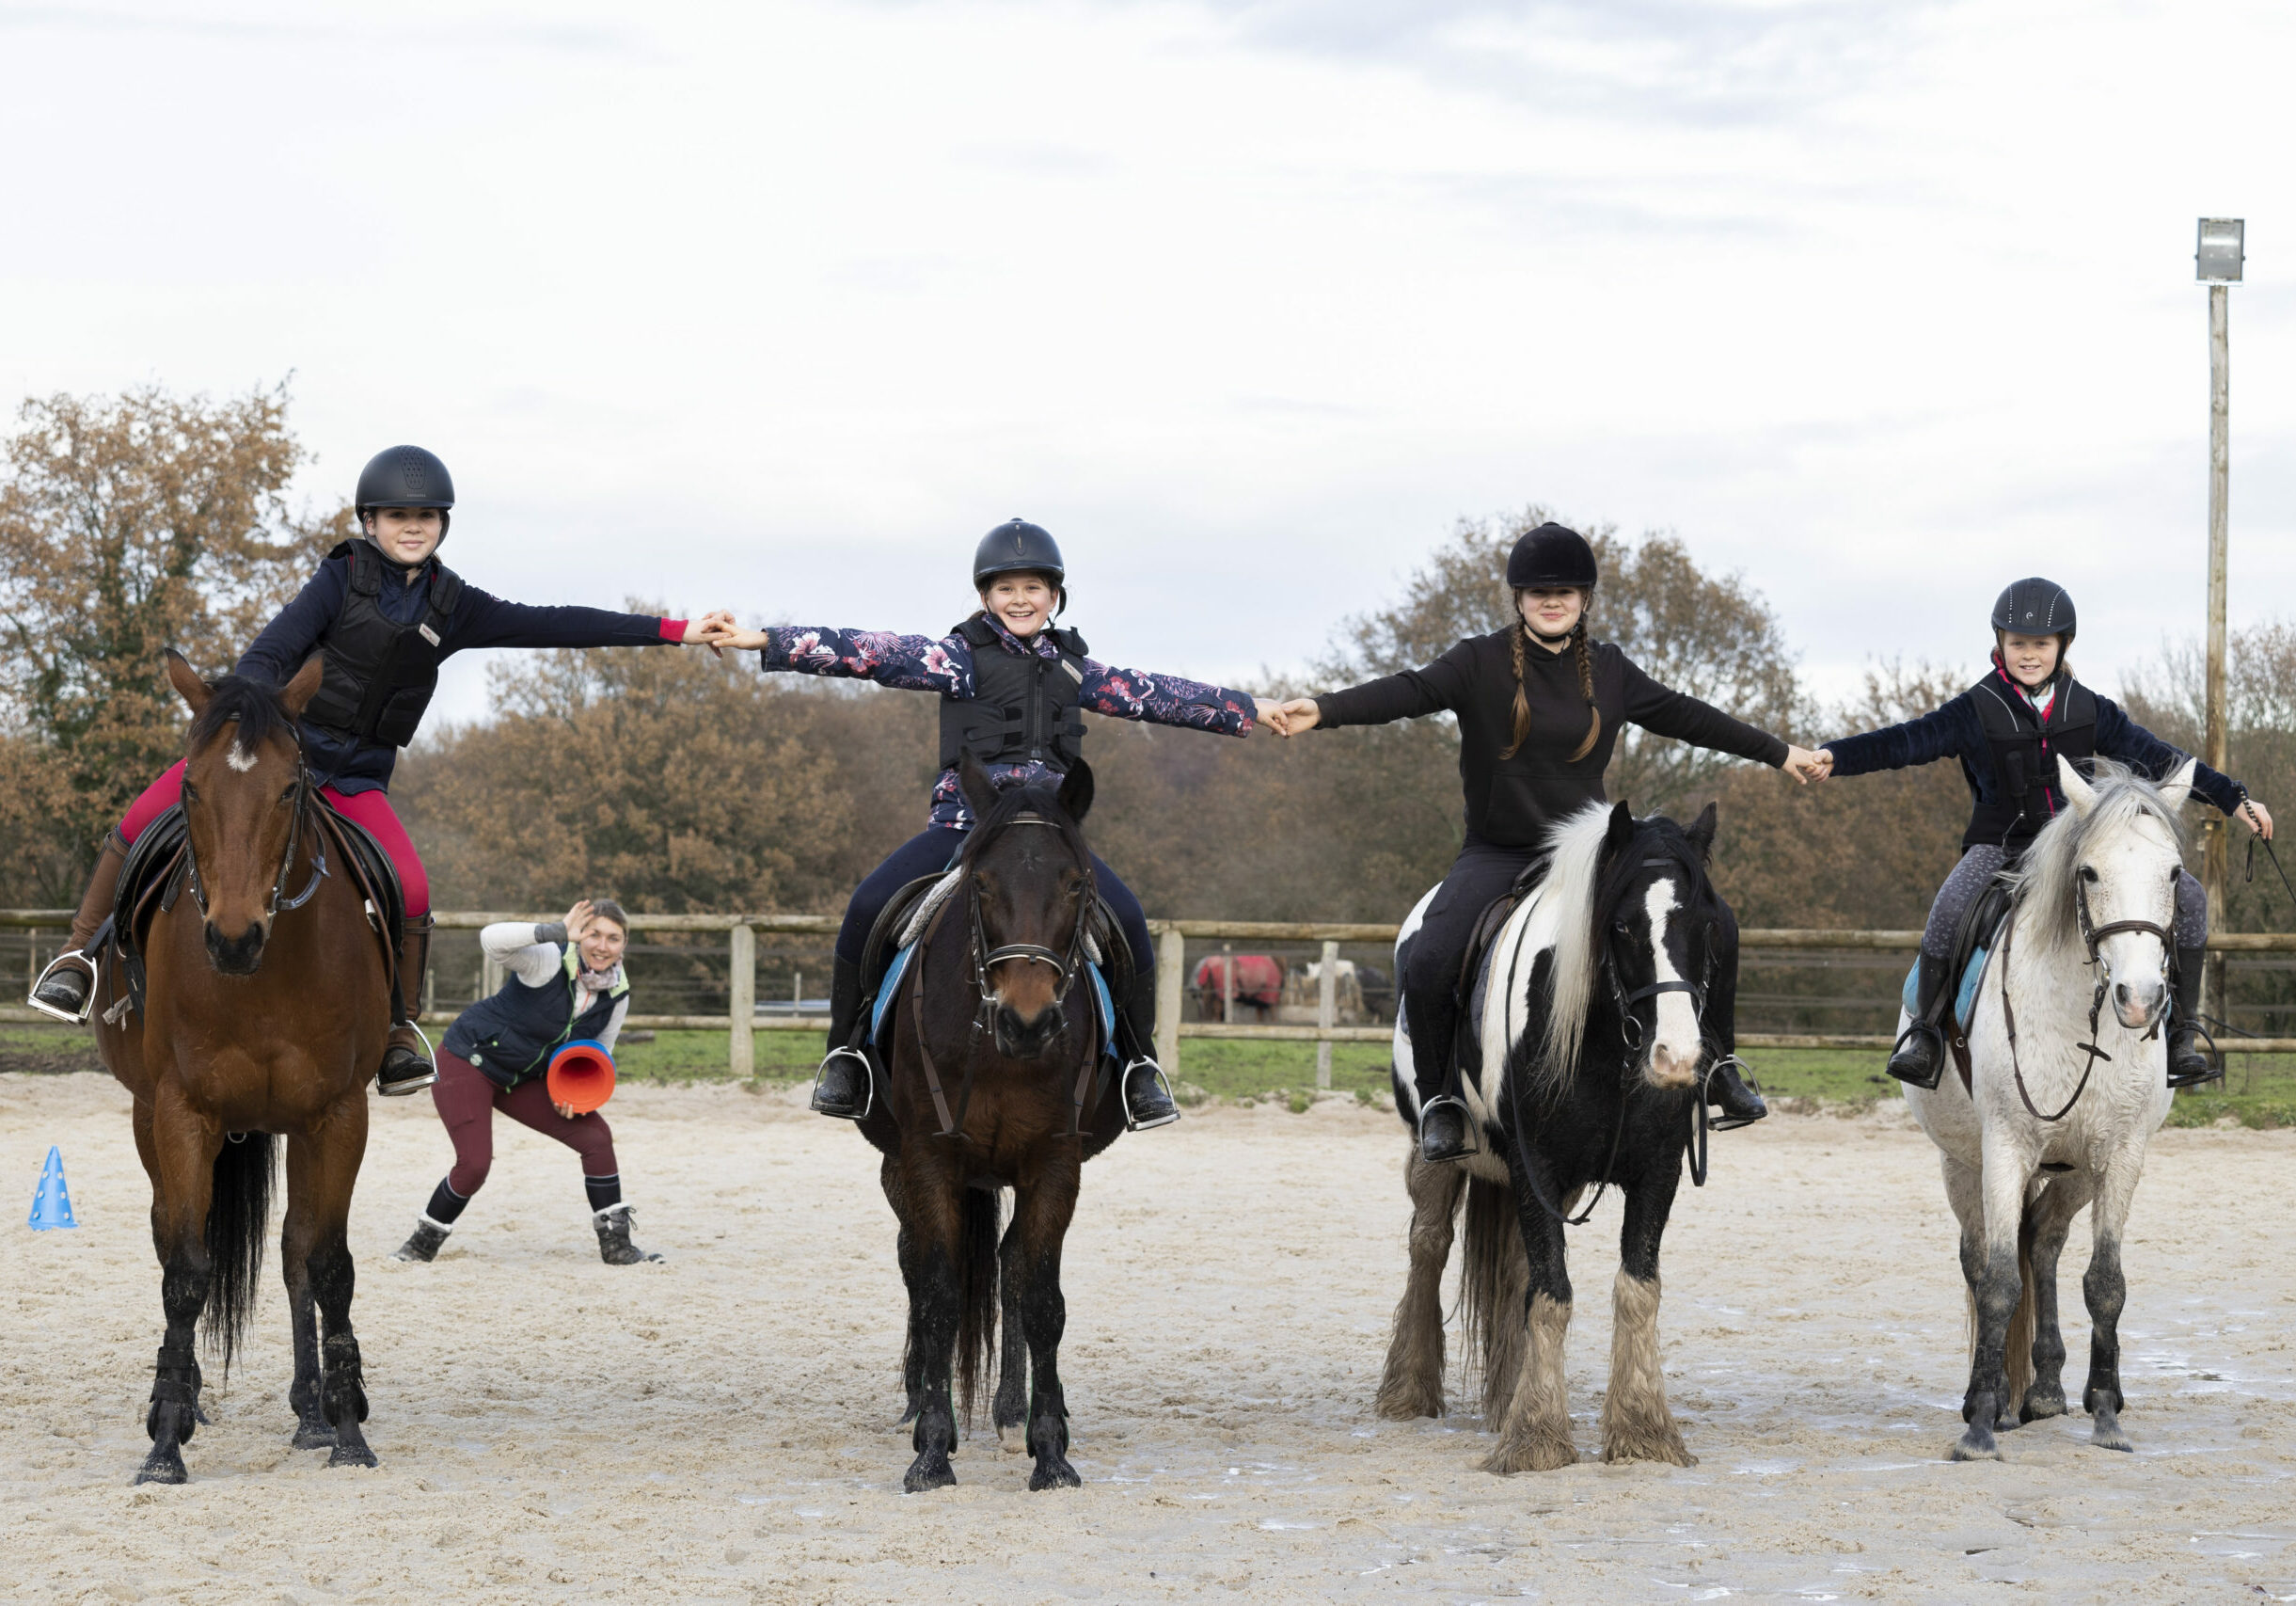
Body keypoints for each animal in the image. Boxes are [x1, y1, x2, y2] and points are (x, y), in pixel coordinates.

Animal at [89, 652, 392, 1479]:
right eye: (191, 786)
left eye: (290, 787)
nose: (232, 937)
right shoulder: (181, 1111)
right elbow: (186, 1270)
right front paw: (165, 1437)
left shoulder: (338, 1113)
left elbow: (326, 1263)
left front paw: (346, 1426)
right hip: (148, 1115)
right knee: (169, 1235)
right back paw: (187, 1398)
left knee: (292, 1251)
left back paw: (310, 1412)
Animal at [1368, 799, 1726, 1470]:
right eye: (1622, 927)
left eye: (1707, 926)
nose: (1676, 1057)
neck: (1606, 1046)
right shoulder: (1536, 1167)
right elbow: (1552, 1294)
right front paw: (1537, 1438)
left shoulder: (1656, 1170)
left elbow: (1634, 1289)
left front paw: (1643, 1431)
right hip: (1437, 1156)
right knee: (1427, 1248)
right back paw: (1408, 1389)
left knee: (1513, 1272)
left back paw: (1507, 1396)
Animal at [1901, 753, 2204, 1461]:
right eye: (2088, 872)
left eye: (2172, 874)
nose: (2140, 999)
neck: (2078, 1021)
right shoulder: (2005, 1150)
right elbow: (1996, 1282)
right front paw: (1980, 1424)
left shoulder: (2121, 1155)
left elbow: (2105, 1282)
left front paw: (2106, 1413)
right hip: (1963, 1164)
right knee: (1980, 1255)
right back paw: (1990, 1396)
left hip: (2077, 1171)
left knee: (2041, 1240)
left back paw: (2042, 1388)